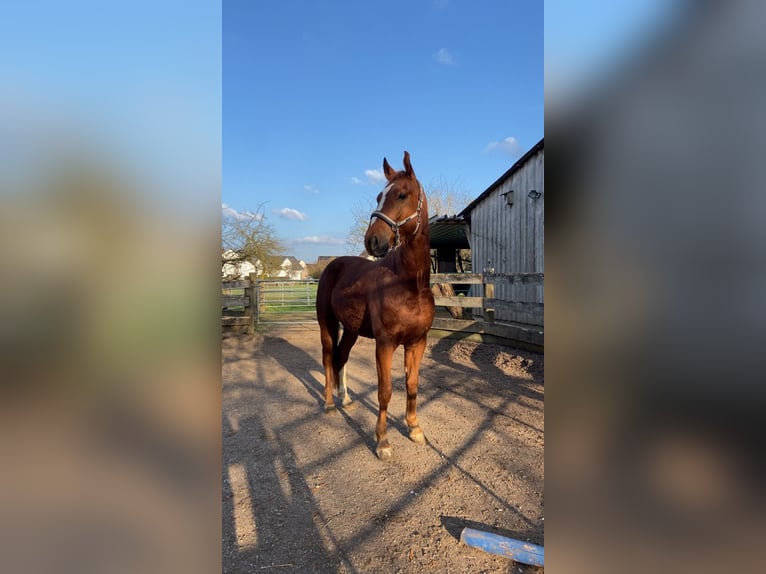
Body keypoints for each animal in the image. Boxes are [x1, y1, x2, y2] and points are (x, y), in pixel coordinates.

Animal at [316, 151, 435, 460]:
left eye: (402, 194)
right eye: (379, 196)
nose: (373, 240)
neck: (408, 285)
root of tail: (332, 265)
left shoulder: (417, 342)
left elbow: (412, 385)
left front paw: (414, 428)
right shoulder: (385, 343)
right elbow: (385, 391)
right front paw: (383, 441)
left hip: (351, 329)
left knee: (341, 356)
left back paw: (346, 399)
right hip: (327, 324)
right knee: (328, 358)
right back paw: (329, 403)